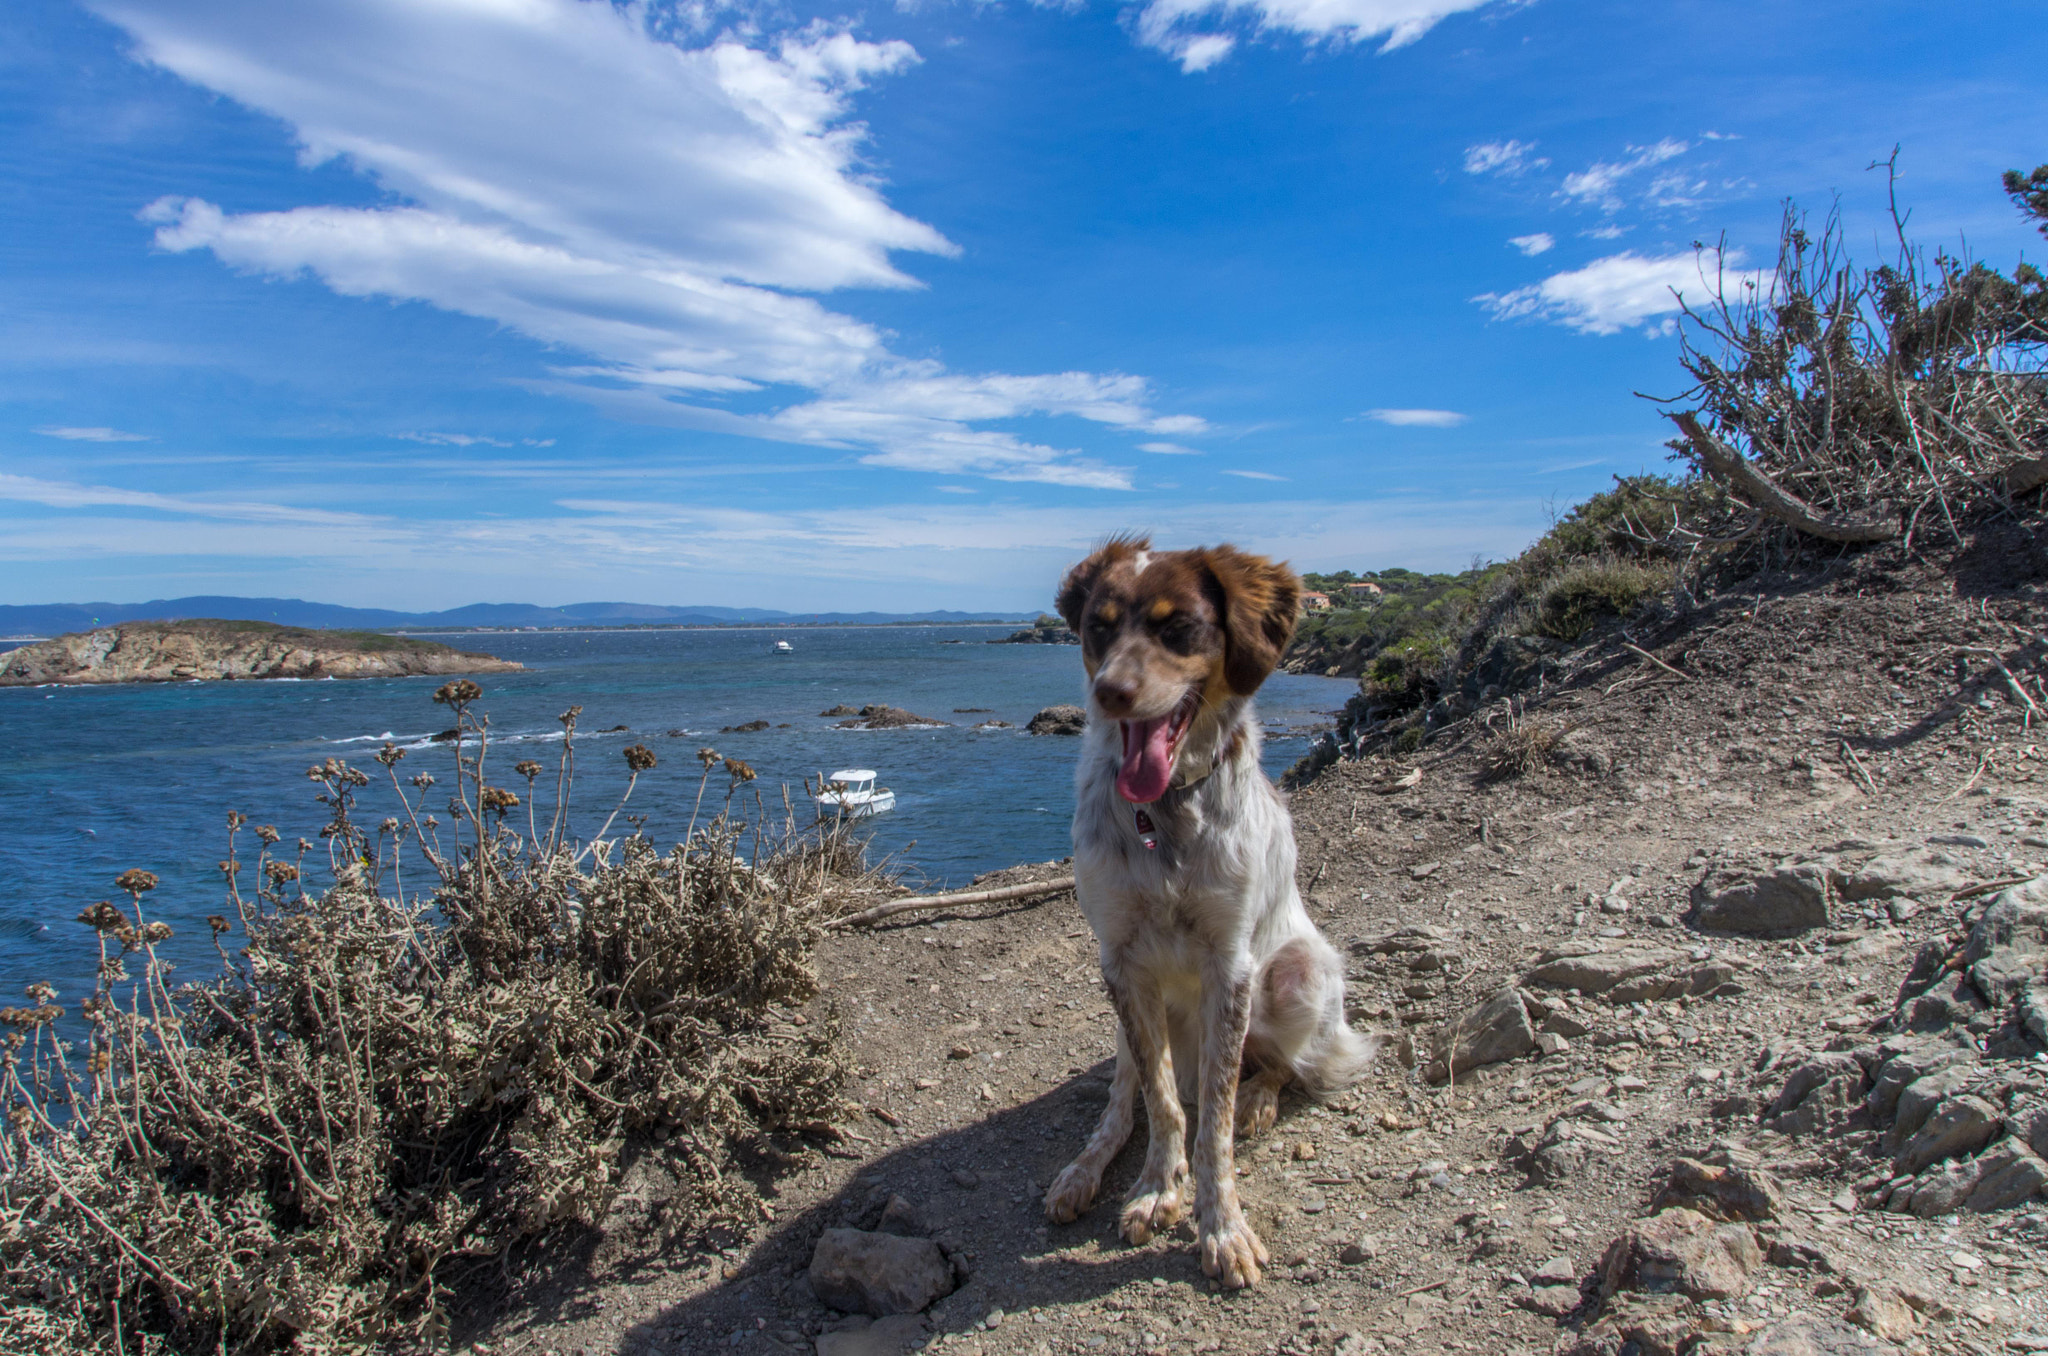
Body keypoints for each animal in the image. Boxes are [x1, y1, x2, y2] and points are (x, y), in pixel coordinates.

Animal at [1040, 536, 1376, 1294]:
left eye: (1179, 628)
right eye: (1098, 627)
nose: (1109, 692)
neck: (1165, 812)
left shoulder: (1232, 967)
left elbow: (1212, 1122)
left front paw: (1221, 1226)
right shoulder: (1122, 964)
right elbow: (1163, 1103)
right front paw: (1155, 1188)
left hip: (1300, 972)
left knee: (1281, 1063)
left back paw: (1260, 1098)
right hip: (1123, 1014)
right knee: (1126, 1098)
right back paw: (1081, 1170)